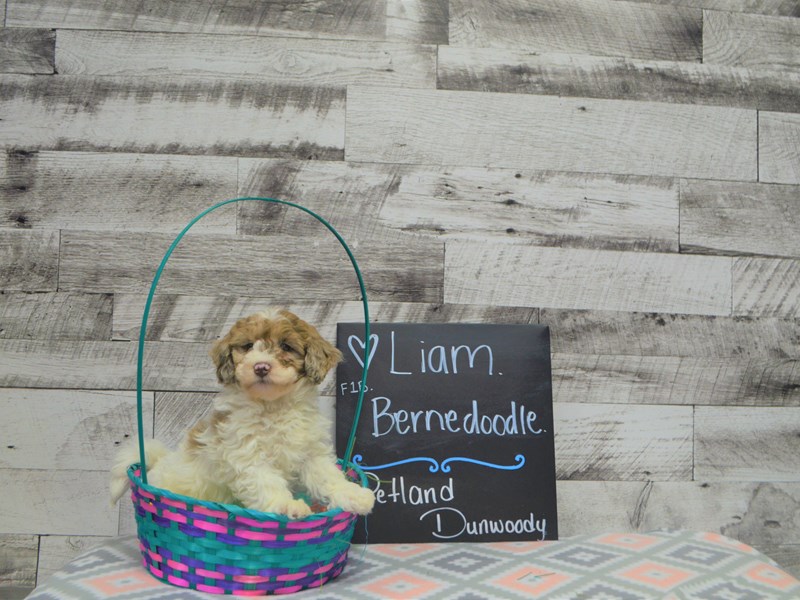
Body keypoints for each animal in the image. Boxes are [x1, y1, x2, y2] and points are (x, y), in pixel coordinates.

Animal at [111, 308, 376, 516]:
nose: (261, 367)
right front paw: (286, 506)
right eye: (248, 346)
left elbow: (327, 475)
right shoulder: (247, 455)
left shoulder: (310, 453)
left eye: (286, 346)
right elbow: (266, 482)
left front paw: (354, 495)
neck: (273, 406)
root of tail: (156, 465)